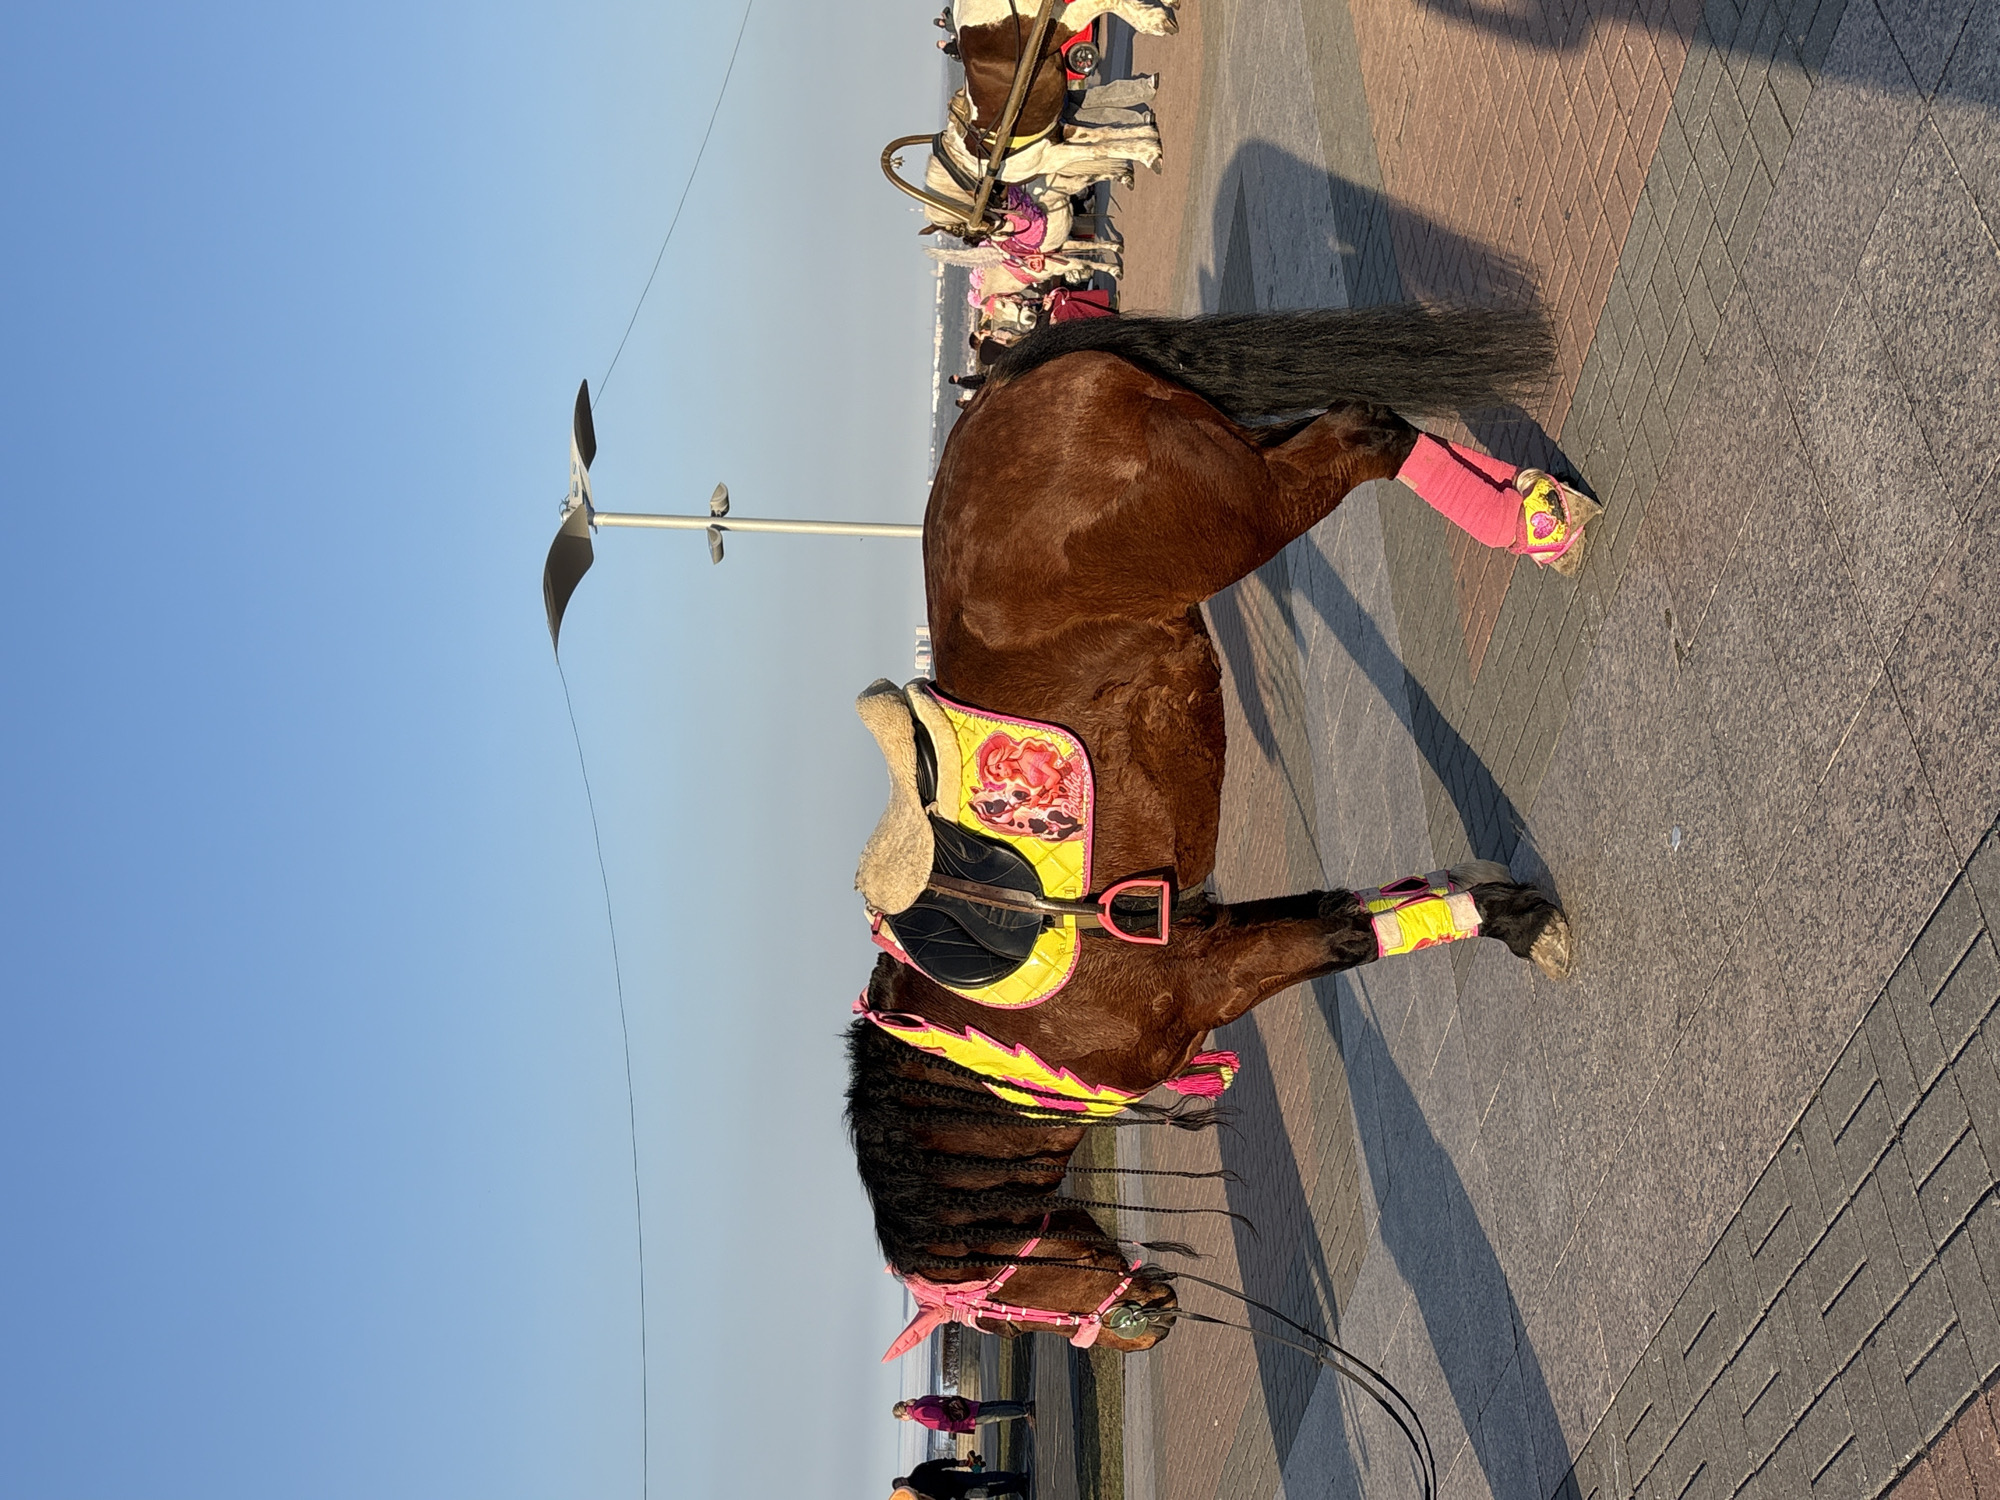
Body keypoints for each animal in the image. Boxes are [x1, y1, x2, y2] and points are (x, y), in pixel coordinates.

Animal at [846, 302, 1599, 1360]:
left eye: (1002, 1312)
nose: (1145, 1326)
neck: (994, 1042)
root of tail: (997, 391)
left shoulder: (1208, 975)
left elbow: (1344, 935)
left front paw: (1518, 923)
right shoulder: (1212, 937)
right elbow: (1357, 909)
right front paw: (1500, 906)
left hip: (1237, 512)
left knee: (1361, 432)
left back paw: (1532, 525)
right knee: (1352, 421)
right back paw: (1536, 515)